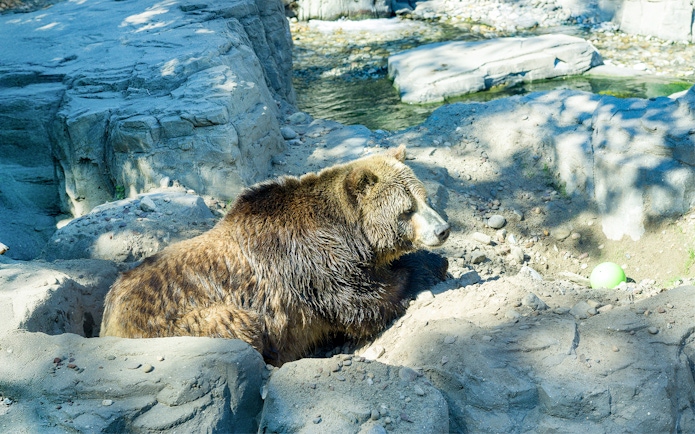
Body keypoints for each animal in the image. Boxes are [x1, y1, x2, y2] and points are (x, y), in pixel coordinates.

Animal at [100, 145, 450, 366]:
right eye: (407, 210)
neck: (350, 233)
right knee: (235, 324)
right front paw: (426, 267)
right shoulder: (311, 260)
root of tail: (109, 319)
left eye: (425, 198)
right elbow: (359, 300)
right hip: (177, 322)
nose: (443, 229)